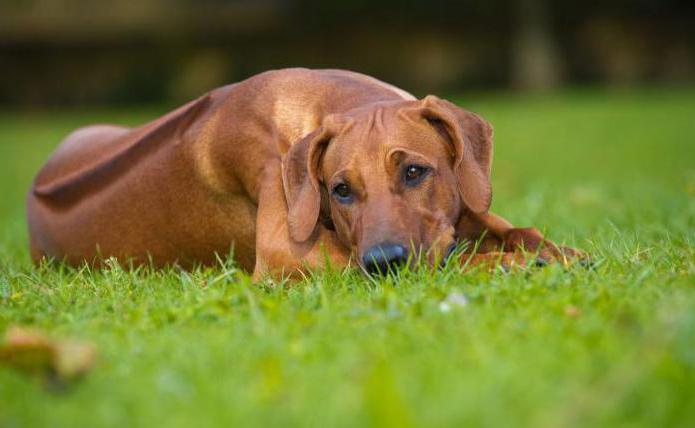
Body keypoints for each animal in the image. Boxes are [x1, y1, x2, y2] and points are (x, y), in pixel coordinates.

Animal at [27, 67, 580, 278]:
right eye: (340, 190)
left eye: (414, 171)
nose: (383, 263)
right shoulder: (283, 255)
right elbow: (448, 261)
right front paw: (507, 263)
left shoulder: (464, 206)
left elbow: (517, 228)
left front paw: (559, 251)